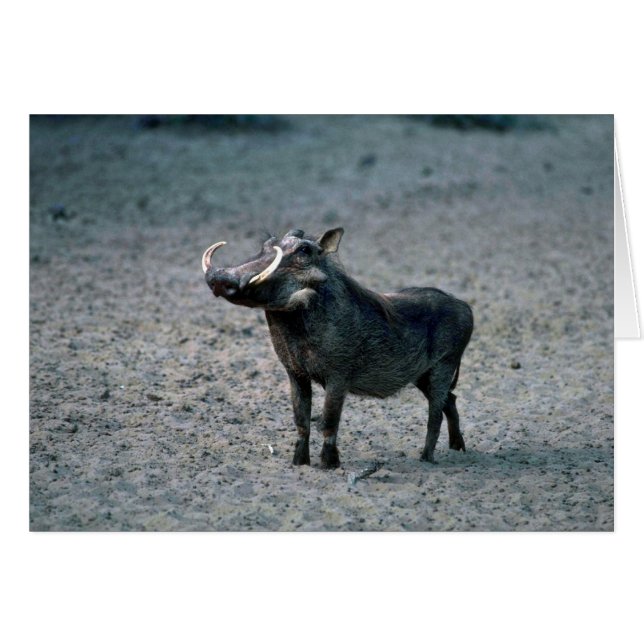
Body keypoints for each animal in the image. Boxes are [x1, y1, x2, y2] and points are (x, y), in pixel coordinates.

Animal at [202, 227, 473, 469]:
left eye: (304, 250)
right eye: (267, 244)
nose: (221, 278)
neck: (293, 321)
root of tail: (465, 306)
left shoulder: (338, 377)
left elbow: (329, 422)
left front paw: (329, 465)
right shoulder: (295, 374)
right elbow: (301, 420)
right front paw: (299, 463)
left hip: (443, 366)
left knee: (435, 413)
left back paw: (427, 459)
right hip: (422, 376)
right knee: (450, 400)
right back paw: (458, 449)